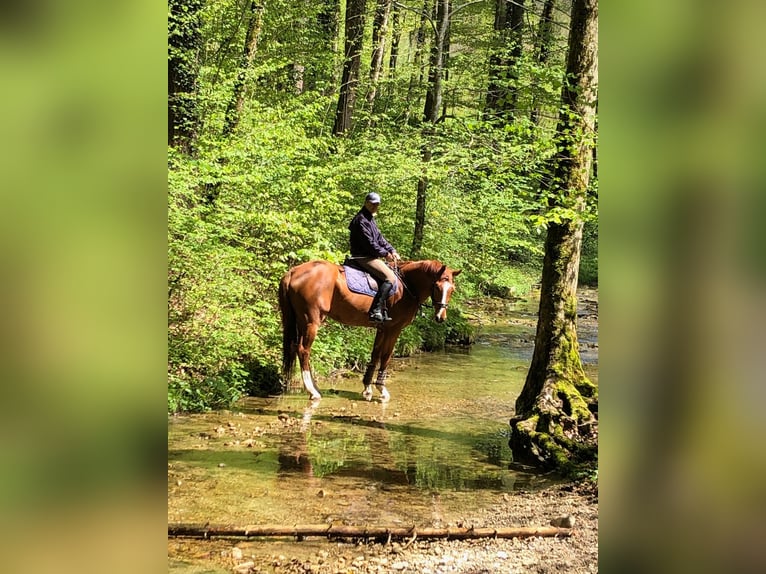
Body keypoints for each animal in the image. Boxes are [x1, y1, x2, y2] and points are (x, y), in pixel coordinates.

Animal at [279, 259, 461, 402]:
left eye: (452, 289)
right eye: (437, 287)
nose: (440, 317)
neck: (406, 287)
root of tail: (293, 272)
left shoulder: (382, 328)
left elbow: (375, 354)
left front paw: (367, 388)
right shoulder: (394, 329)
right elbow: (386, 356)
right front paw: (382, 390)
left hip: (300, 321)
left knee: (295, 348)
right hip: (311, 321)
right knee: (303, 350)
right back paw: (313, 391)